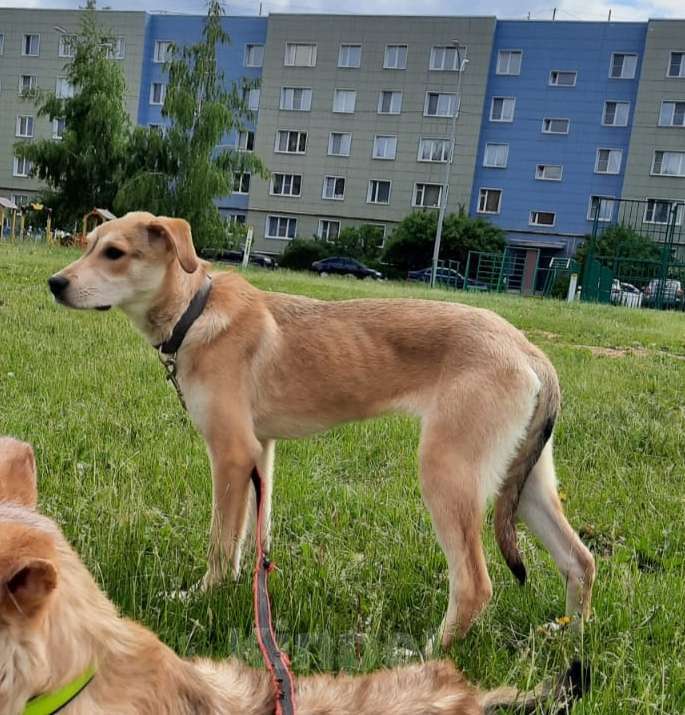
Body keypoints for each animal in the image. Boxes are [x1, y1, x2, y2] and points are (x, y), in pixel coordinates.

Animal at [49, 213, 592, 648]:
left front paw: (201, 596)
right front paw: (246, 592)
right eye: (88, 243)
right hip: (524, 482)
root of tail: (527, 349)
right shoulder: (260, 452)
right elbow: (254, 534)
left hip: (449, 473)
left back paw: (427, 654)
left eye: (115, 253)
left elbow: (222, 544)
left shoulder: (230, 453)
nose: (54, 283)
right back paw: (567, 637)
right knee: (580, 560)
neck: (194, 311)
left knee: (476, 585)